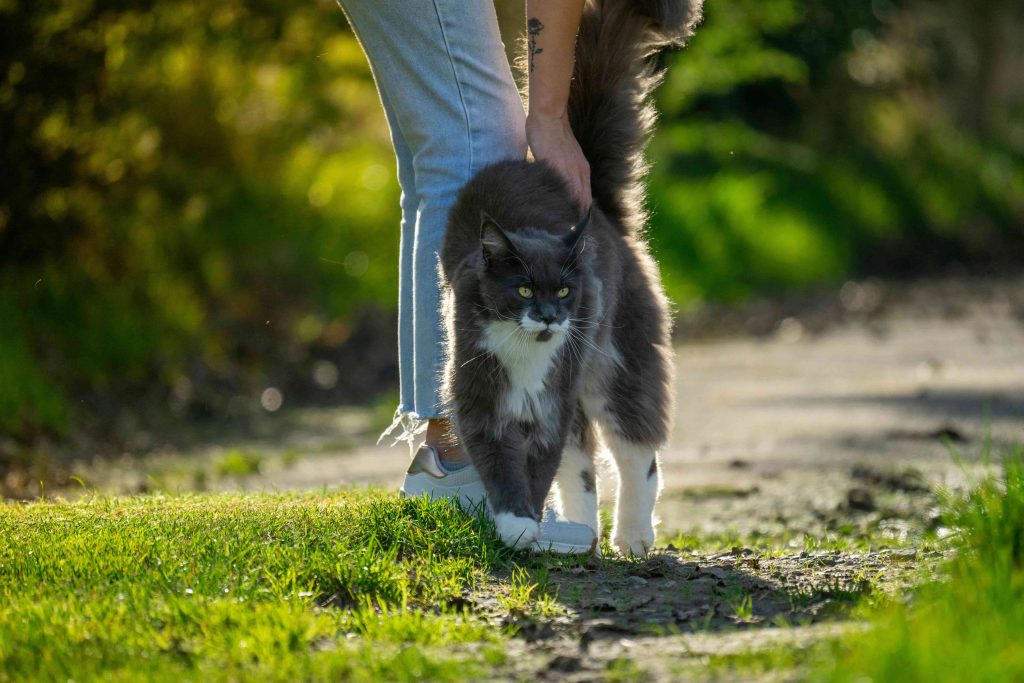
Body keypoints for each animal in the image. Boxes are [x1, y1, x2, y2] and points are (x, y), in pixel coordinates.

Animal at [436, 0, 700, 557]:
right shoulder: (479, 400)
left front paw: (528, 524)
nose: (551, 317)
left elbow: (540, 467)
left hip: (616, 362)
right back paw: (582, 534)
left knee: (637, 453)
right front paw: (519, 525)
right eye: (522, 289)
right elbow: (503, 466)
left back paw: (632, 536)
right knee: (581, 468)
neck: (524, 355)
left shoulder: (550, 403)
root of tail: (598, 208)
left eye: (563, 290)